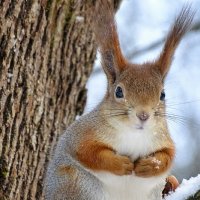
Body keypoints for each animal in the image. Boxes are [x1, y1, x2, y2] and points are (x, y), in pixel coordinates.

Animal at [43, 1, 194, 200]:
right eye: (119, 92)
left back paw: (170, 185)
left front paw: (150, 165)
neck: (134, 134)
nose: (143, 115)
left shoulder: (163, 138)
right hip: (76, 184)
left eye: (162, 94)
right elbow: (89, 152)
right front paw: (120, 164)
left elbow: (168, 156)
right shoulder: (82, 134)